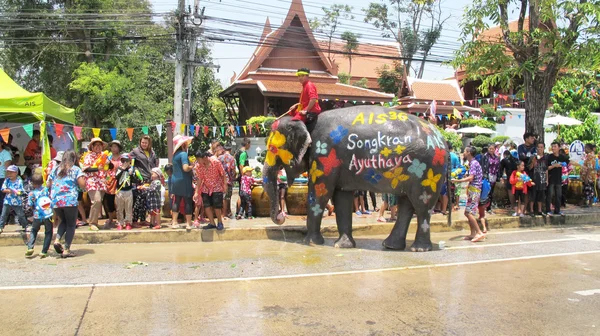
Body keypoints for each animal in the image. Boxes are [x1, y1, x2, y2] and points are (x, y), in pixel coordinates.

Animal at [260, 106, 448, 251]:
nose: (281, 217)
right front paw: (342, 246)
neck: (307, 123)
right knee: (406, 204)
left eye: (272, 148)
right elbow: (342, 199)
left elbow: (319, 195)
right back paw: (391, 246)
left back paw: (418, 249)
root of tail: (442, 139)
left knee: (421, 205)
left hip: (428, 169)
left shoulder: (325, 154)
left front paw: (311, 243)